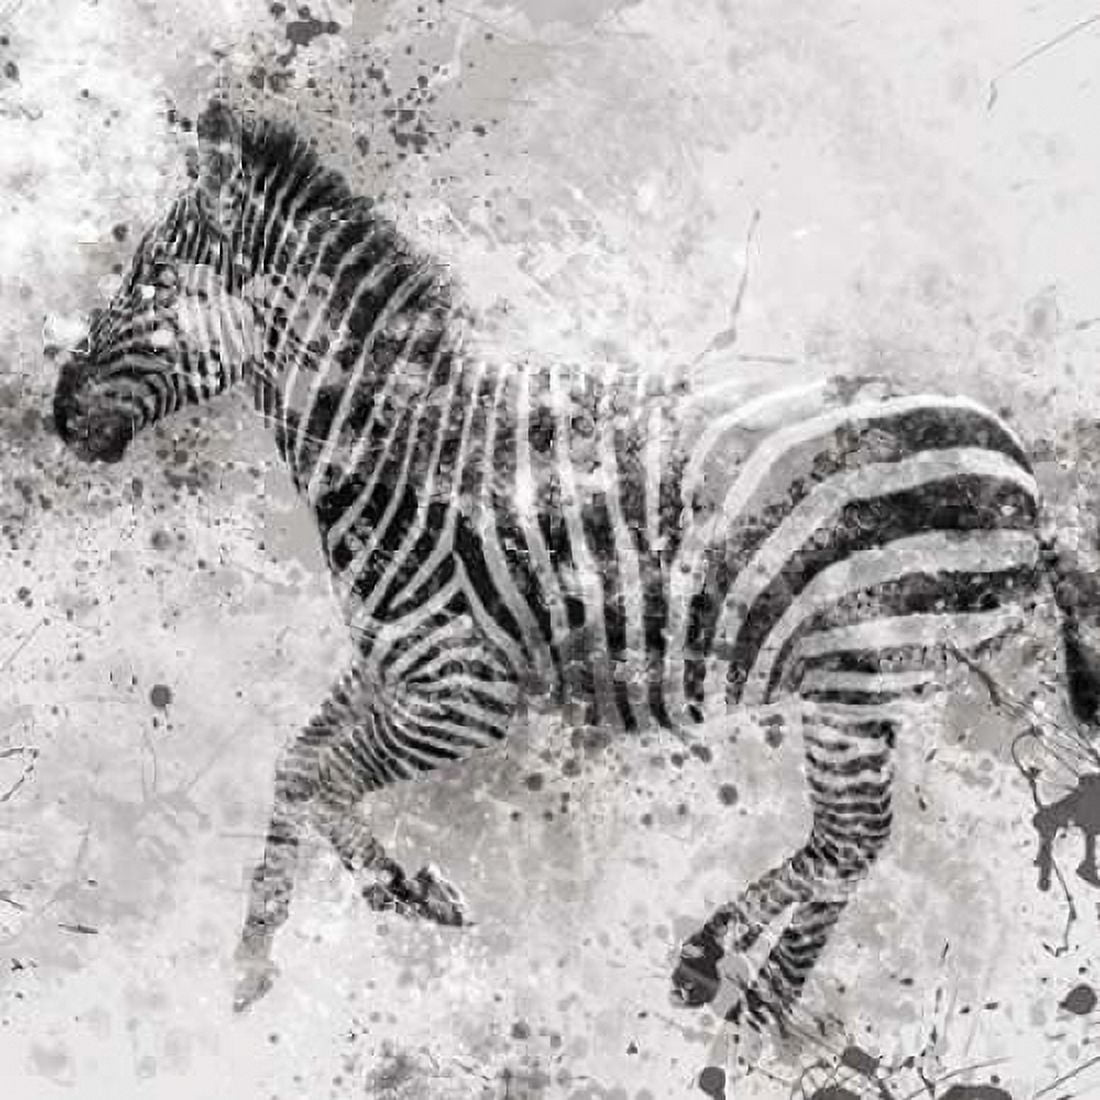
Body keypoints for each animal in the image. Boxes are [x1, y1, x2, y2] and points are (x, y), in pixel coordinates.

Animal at [51, 98, 1100, 1033]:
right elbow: (299, 765)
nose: (60, 413)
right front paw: (253, 971)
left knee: (850, 843)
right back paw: (739, 991)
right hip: (876, 692)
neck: (397, 442)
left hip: (860, 676)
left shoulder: (466, 694)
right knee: (849, 845)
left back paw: (733, 987)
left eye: (152, 279)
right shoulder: (391, 664)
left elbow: (329, 777)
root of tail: (1020, 470)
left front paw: (396, 895)